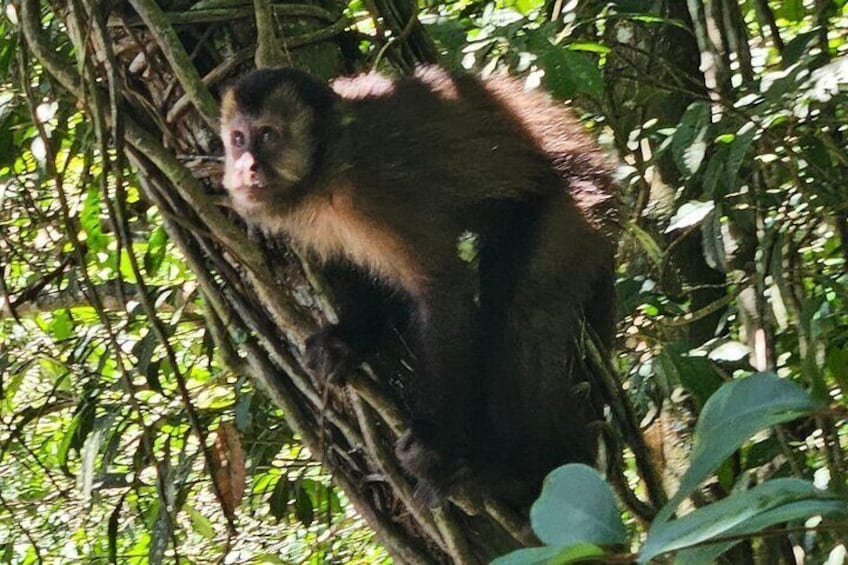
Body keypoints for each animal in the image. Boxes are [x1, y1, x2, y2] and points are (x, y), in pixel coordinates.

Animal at [219, 65, 619, 508]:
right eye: (238, 139)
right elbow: (347, 266)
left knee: (522, 314)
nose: (246, 167)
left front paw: (436, 443)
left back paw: (524, 471)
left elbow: (440, 290)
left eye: (268, 136)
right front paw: (352, 338)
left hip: (578, 202)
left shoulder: (380, 195)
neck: (328, 166)